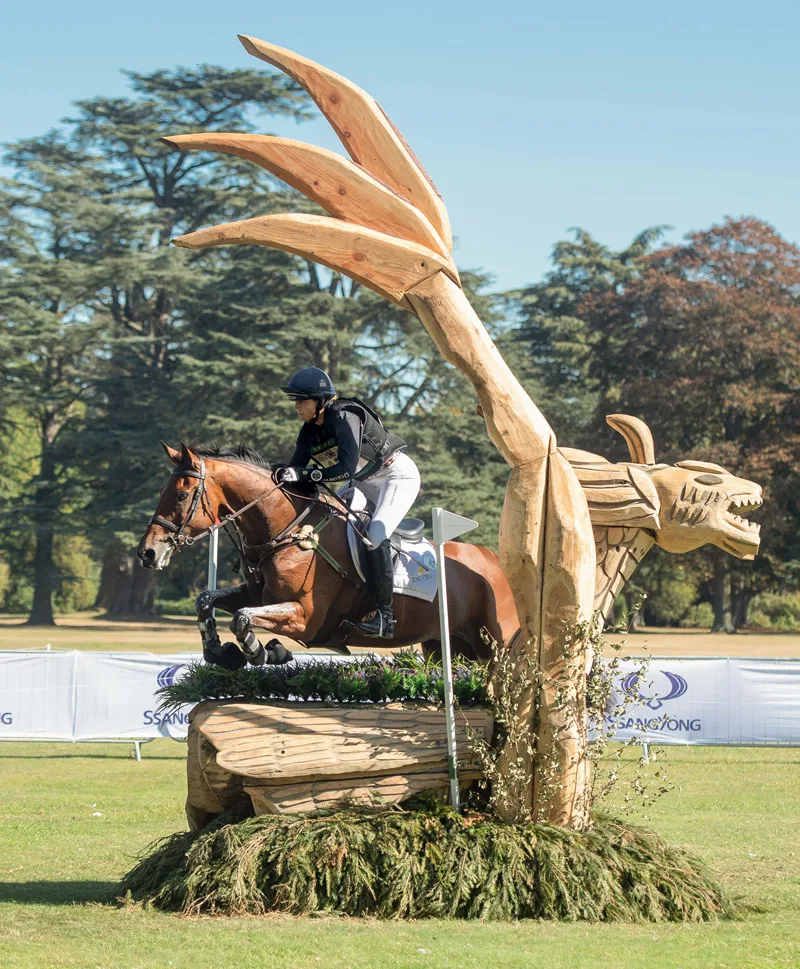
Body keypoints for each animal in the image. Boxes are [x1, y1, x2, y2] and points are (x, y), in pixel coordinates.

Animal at [136, 438, 520, 664]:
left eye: (181, 495)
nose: (147, 553)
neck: (288, 530)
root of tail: (494, 561)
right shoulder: (257, 594)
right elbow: (207, 601)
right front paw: (220, 652)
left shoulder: (306, 617)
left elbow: (242, 617)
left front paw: (266, 653)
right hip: (446, 645)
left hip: (497, 644)